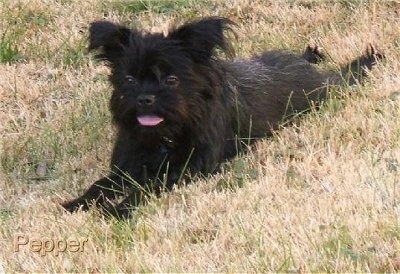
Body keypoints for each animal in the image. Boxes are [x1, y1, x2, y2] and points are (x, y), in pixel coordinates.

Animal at [61, 16, 382, 218]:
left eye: (172, 80)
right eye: (128, 79)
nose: (145, 98)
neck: (164, 137)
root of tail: (307, 67)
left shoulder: (189, 170)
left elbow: (150, 188)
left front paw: (118, 210)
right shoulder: (127, 168)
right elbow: (99, 185)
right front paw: (77, 203)